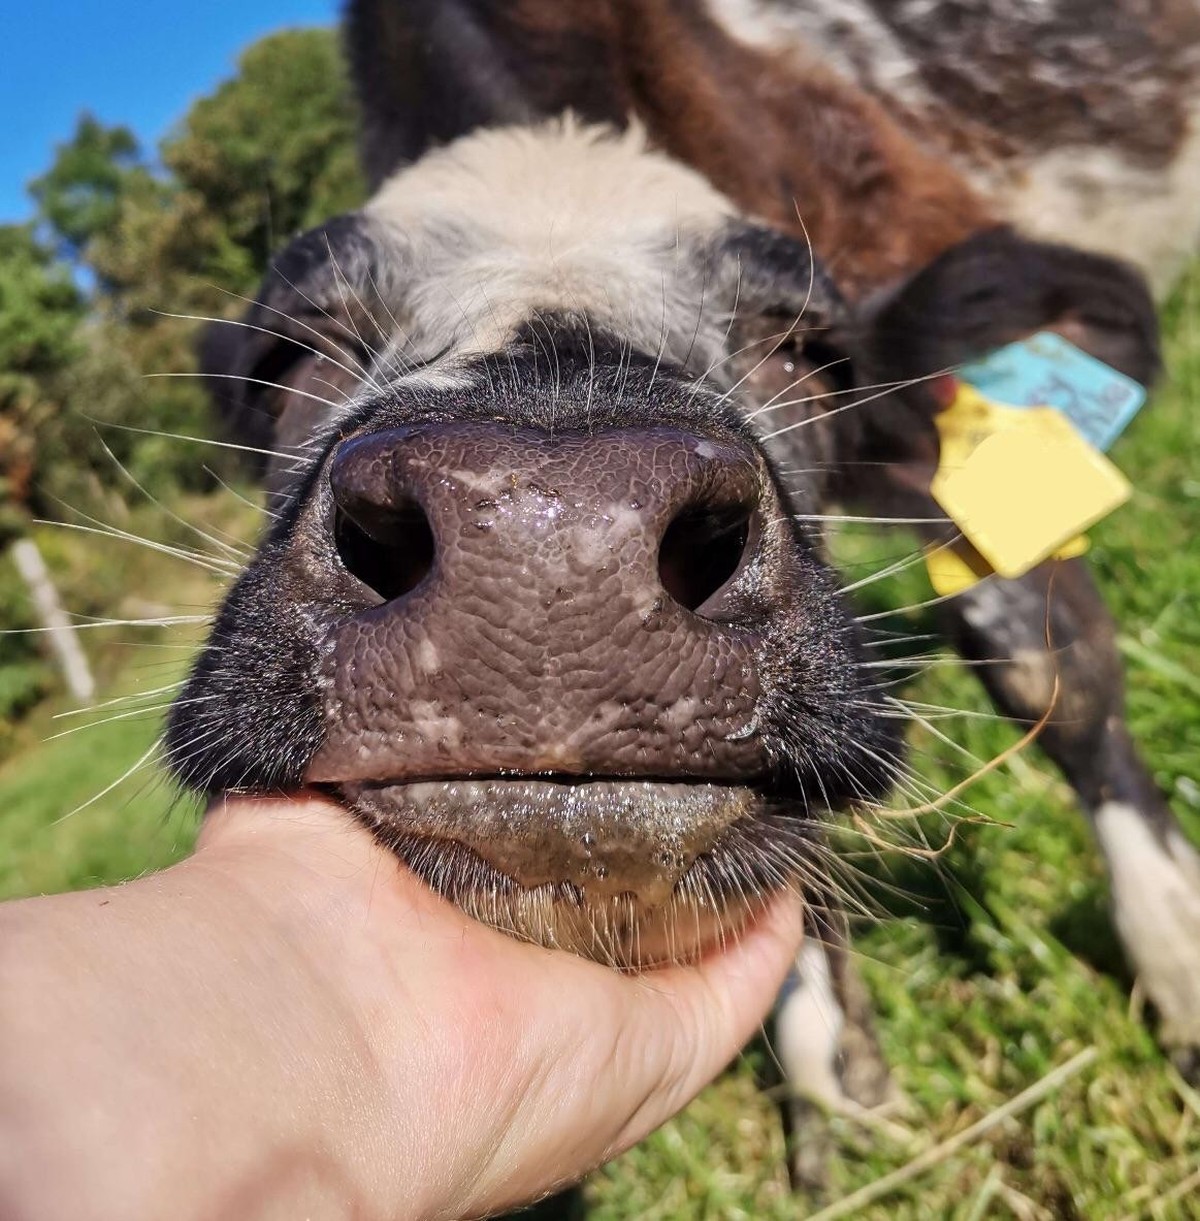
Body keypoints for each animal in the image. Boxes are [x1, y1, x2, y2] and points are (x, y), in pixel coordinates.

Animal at [181, 0, 1200, 1206]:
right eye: (289, 354)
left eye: (808, 345)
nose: (553, 540)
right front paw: (831, 1076)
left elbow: (1054, 669)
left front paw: (1179, 966)